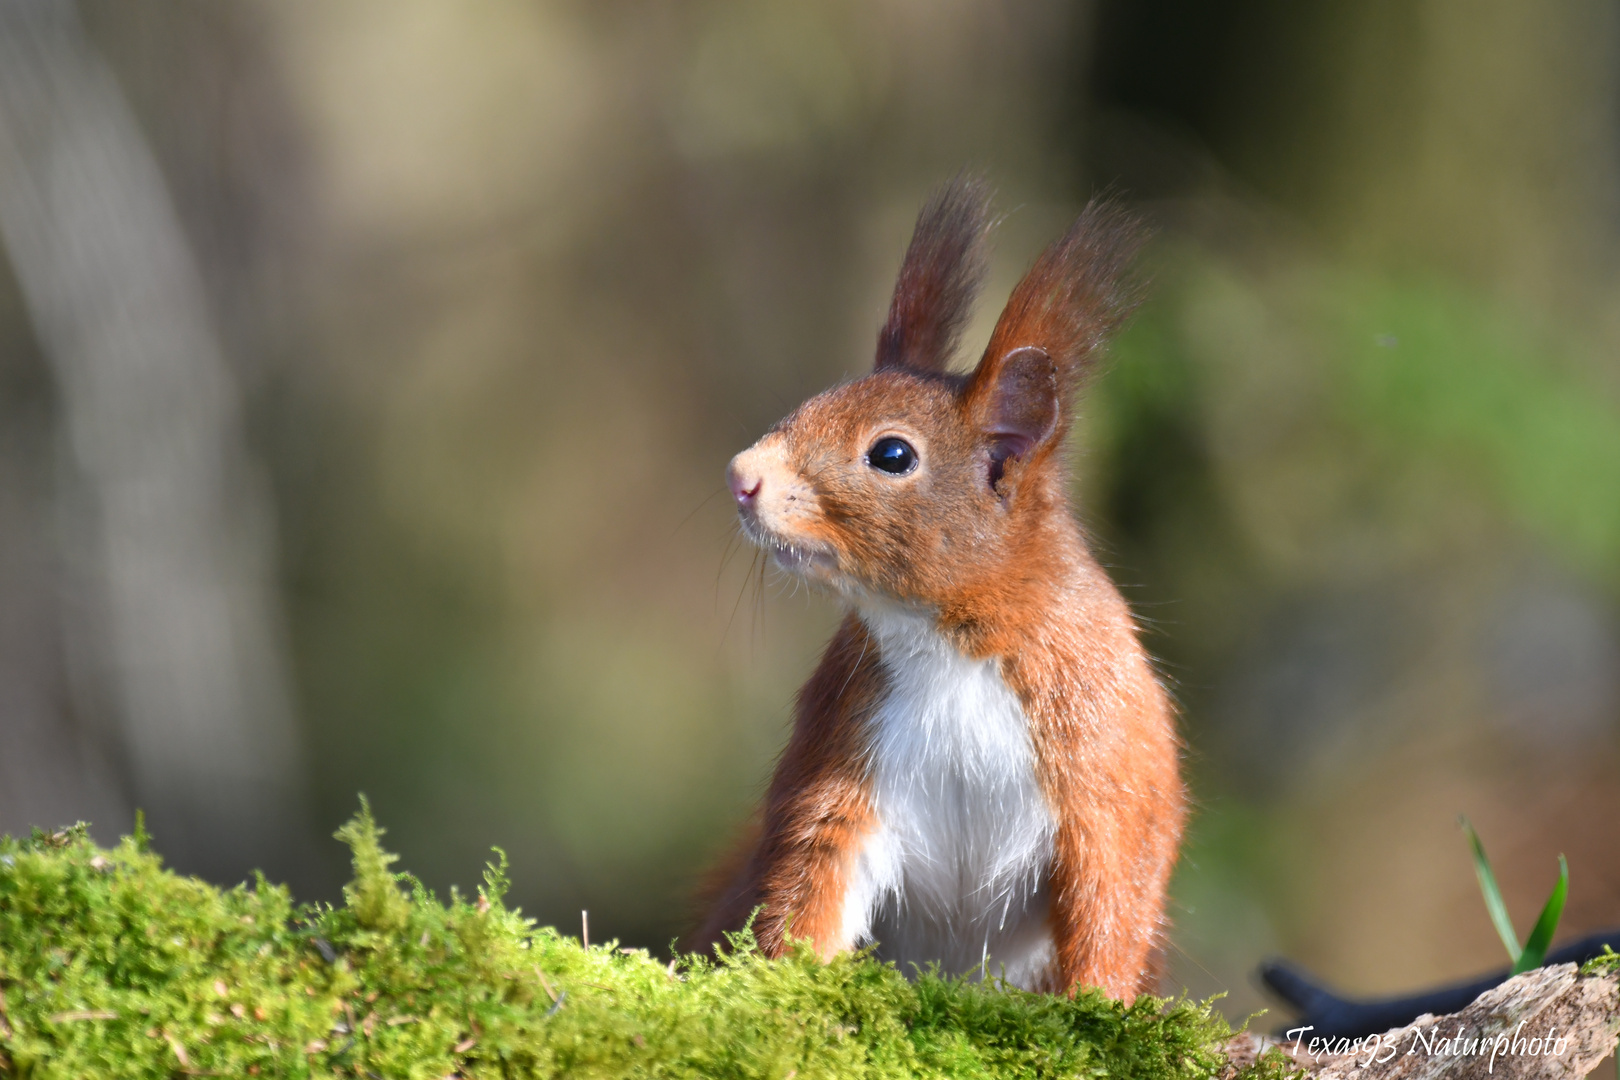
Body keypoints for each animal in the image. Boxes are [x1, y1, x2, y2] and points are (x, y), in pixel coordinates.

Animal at [699, 179, 1192, 1003]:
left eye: (892, 454)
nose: (742, 476)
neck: (945, 640)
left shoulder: (1102, 752)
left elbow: (1113, 893)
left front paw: (1101, 1008)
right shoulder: (845, 753)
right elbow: (813, 876)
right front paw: (786, 983)